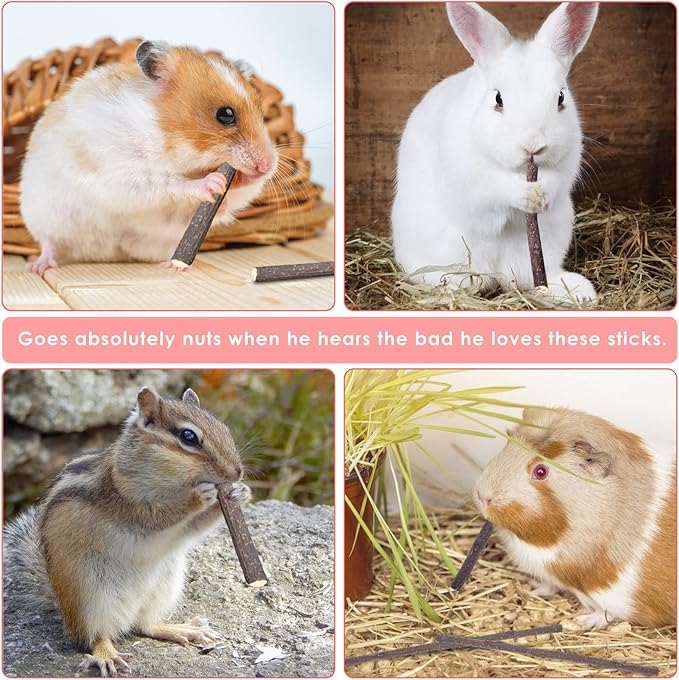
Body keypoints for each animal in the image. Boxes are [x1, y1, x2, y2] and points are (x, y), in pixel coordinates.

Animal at [4, 387, 252, 677]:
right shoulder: (124, 502)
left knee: (146, 625)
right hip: (90, 597)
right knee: (95, 635)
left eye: (223, 427)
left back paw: (183, 629)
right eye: (188, 437)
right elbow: (158, 517)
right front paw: (199, 497)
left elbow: (192, 527)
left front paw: (241, 492)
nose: (237, 472)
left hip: (165, 585)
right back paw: (107, 655)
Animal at [391, 2, 599, 302]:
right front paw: (526, 195)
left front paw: (541, 195)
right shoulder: (471, 182)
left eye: (560, 98)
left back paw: (575, 290)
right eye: (498, 99)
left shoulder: (566, 167)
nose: (533, 145)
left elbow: (556, 181)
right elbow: (494, 191)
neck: (519, 171)